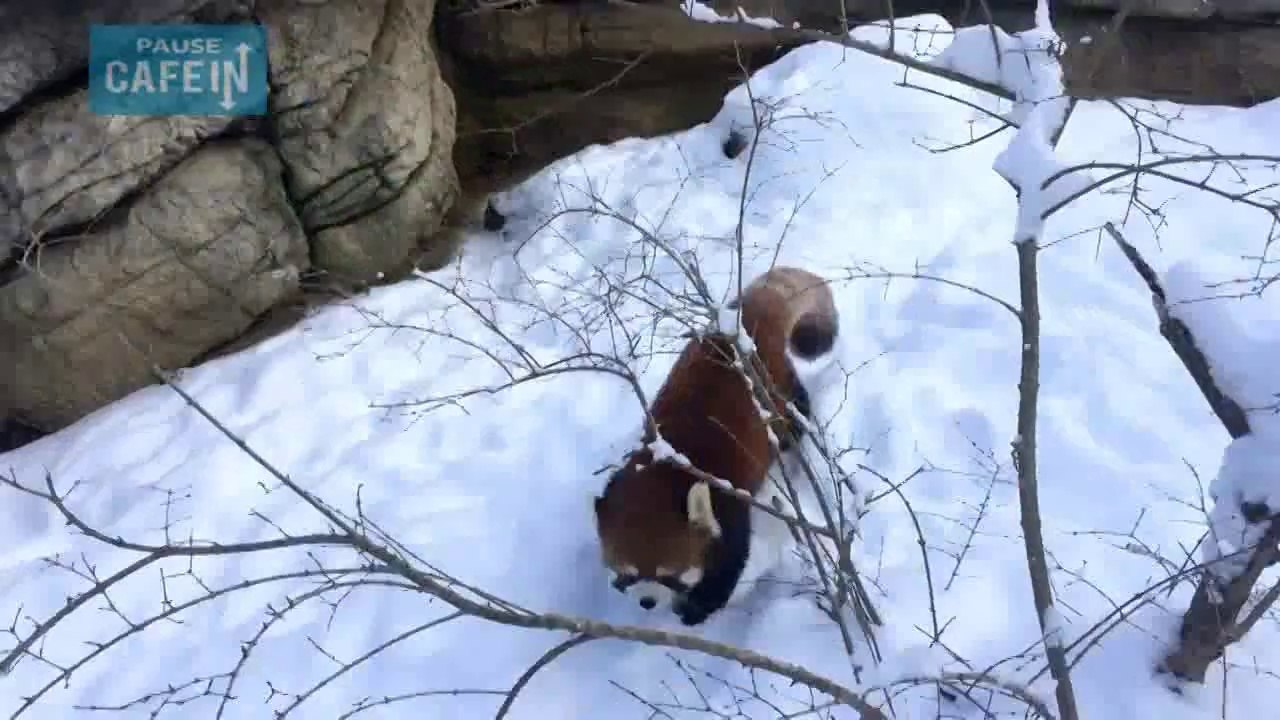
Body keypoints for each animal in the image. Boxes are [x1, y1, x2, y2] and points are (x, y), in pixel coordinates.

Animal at [592, 265, 840, 625]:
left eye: (668, 576)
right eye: (628, 574)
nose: (647, 602)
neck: (669, 470)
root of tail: (741, 321)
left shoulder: (727, 497)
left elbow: (729, 563)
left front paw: (697, 608)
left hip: (774, 388)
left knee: (794, 409)